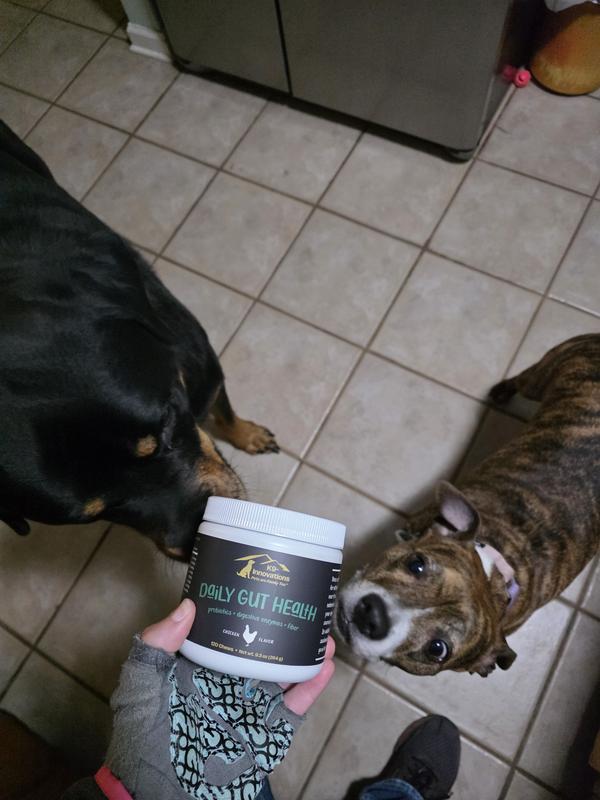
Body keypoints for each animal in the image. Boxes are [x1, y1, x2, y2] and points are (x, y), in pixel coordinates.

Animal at [0, 120, 278, 560]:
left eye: (165, 434)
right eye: (96, 512)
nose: (197, 541)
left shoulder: (204, 369)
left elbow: (225, 412)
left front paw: (246, 435)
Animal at [337, 334, 600, 676]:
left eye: (437, 649)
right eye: (416, 563)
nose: (373, 616)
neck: (494, 572)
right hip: (543, 377)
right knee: (523, 379)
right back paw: (501, 390)